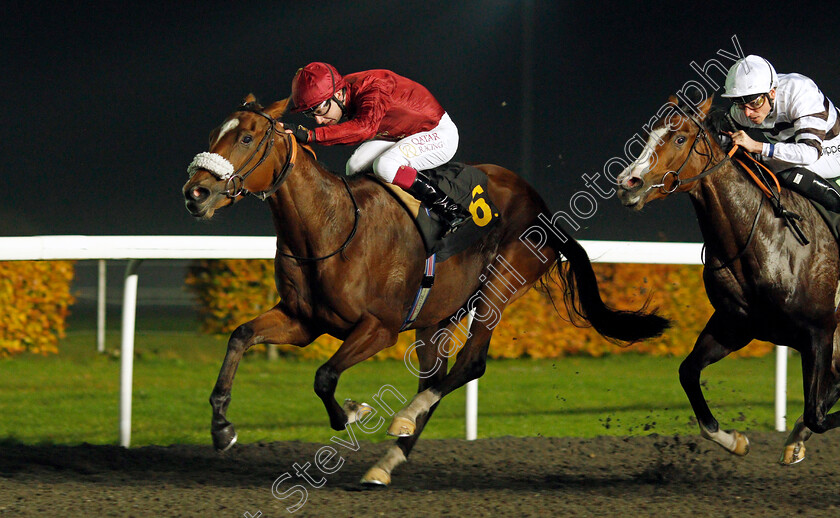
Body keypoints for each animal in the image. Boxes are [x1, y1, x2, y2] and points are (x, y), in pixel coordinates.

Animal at [184, 94, 668, 488]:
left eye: (247, 137)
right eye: (212, 134)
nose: (196, 192)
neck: (330, 227)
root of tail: (542, 206)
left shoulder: (380, 327)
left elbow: (325, 376)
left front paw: (354, 412)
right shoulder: (302, 321)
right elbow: (241, 336)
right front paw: (222, 427)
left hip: (499, 286)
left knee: (470, 364)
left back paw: (401, 418)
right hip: (438, 315)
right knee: (435, 377)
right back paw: (386, 462)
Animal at [612, 94, 840, 468]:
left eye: (679, 138)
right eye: (648, 135)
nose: (627, 183)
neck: (765, 238)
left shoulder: (818, 332)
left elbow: (816, 414)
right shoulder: (734, 325)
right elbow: (688, 373)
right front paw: (735, 441)